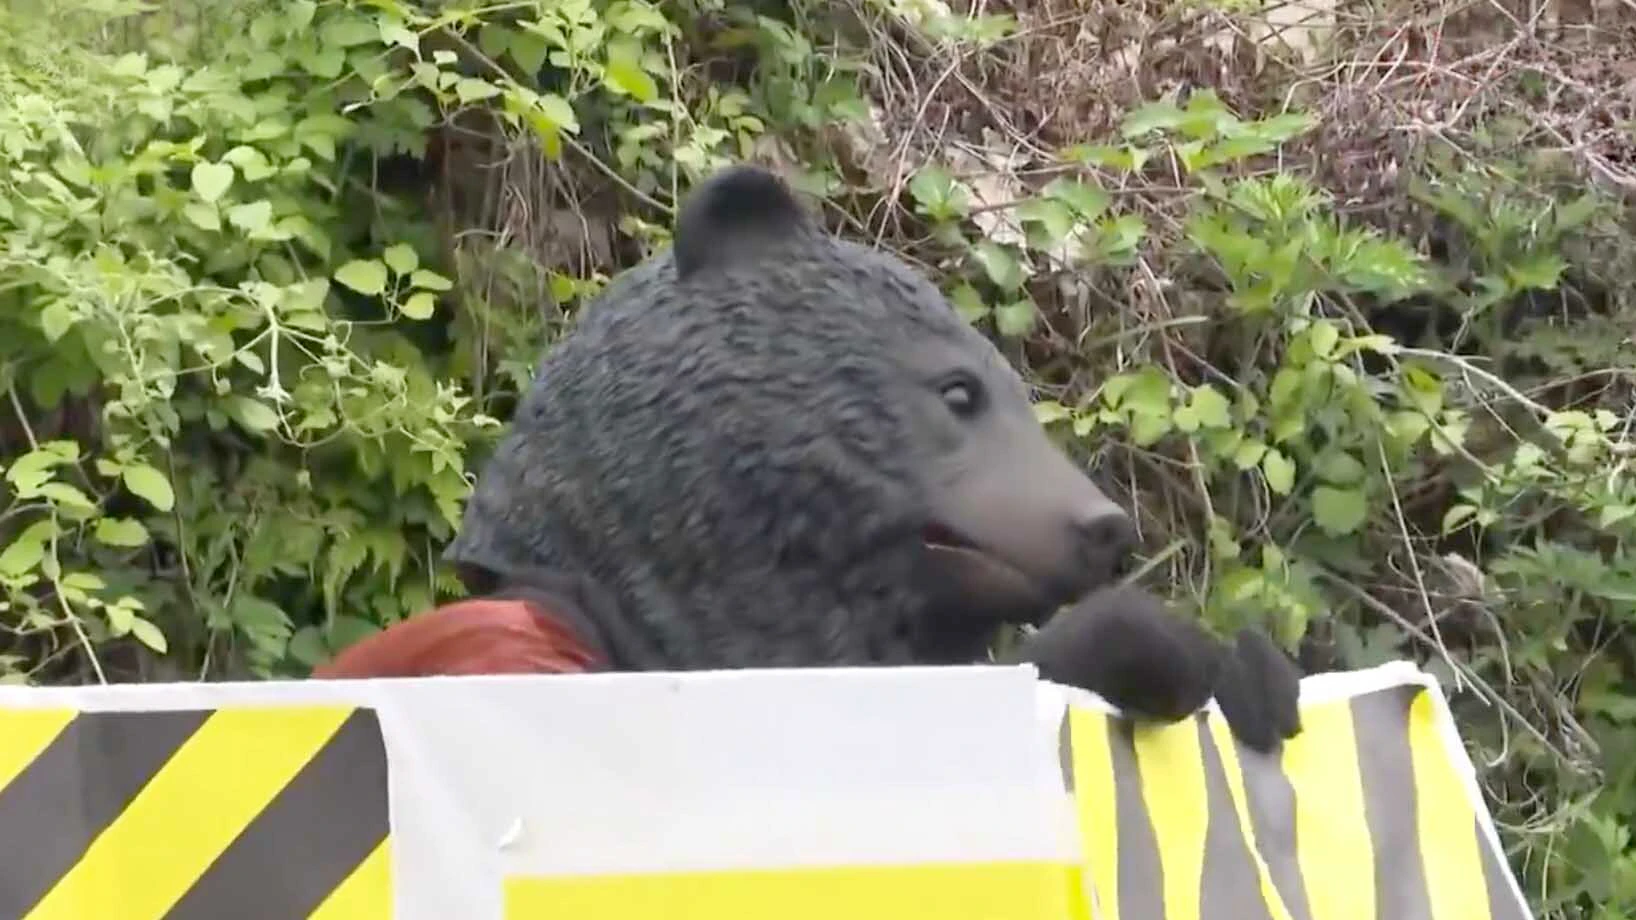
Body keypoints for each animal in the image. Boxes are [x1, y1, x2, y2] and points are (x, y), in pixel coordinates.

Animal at [319, 164, 1301, 754]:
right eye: (957, 392)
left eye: (1015, 391)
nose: (1104, 526)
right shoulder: (510, 658)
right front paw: (1156, 643)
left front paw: (1247, 674)